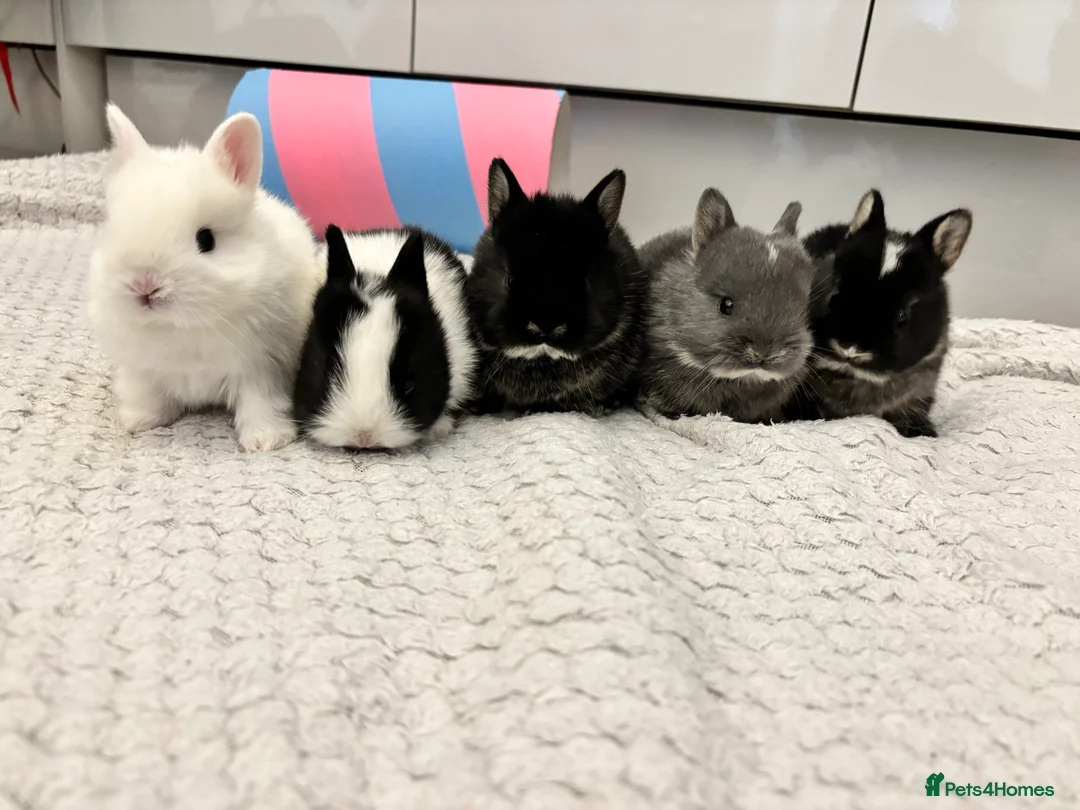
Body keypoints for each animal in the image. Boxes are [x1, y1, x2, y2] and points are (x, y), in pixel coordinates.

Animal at [89, 104, 323, 452]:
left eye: (206, 239)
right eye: (114, 228)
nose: (145, 286)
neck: (183, 327)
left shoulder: (262, 368)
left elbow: (260, 404)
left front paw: (266, 441)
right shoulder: (142, 369)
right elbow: (147, 393)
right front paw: (139, 421)